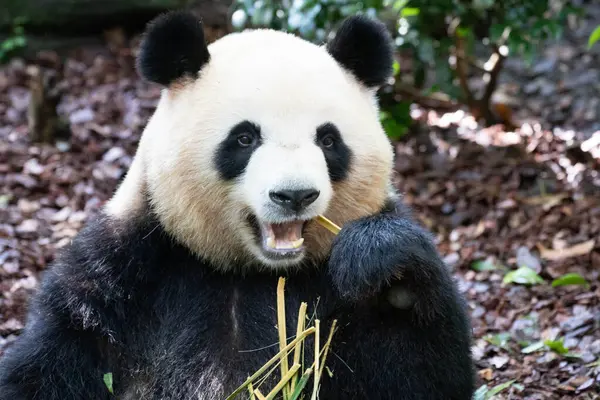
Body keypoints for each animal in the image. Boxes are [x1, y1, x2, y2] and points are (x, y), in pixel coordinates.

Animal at [0, 10, 474, 400]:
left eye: (328, 139)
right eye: (244, 138)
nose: (295, 195)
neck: (251, 272)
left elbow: (421, 373)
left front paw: (381, 264)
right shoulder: (125, 270)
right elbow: (52, 361)